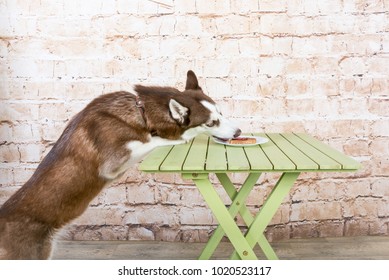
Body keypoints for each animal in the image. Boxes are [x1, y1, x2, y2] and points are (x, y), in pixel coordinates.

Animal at [0, 71, 239, 260]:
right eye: (211, 122)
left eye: (221, 113)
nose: (237, 132)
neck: (142, 111)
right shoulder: (113, 163)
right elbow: (153, 140)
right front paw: (178, 139)